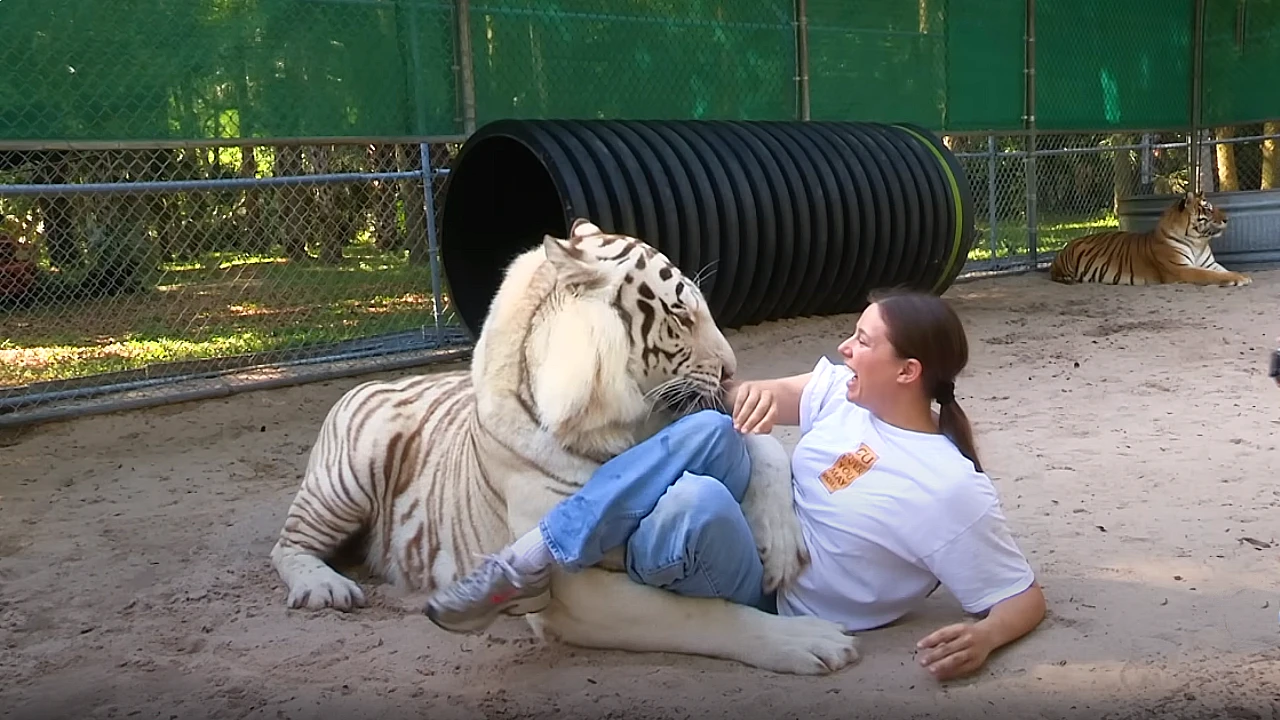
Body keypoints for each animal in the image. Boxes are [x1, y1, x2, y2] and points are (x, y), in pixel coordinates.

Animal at [268, 219, 860, 671]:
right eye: (680, 314)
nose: (734, 370)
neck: (625, 430)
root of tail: (374, 382)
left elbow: (760, 443)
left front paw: (779, 546)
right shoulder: (575, 592)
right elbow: (702, 613)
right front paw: (809, 639)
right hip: (344, 482)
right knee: (288, 545)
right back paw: (325, 588)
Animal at [1049, 193, 1249, 288]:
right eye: (1207, 209)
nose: (1227, 219)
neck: (1198, 242)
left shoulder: (1210, 264)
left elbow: (1223, 270)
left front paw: (1241, 275)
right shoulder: (1181, 269)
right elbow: (1213, 275)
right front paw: (1240, 278)